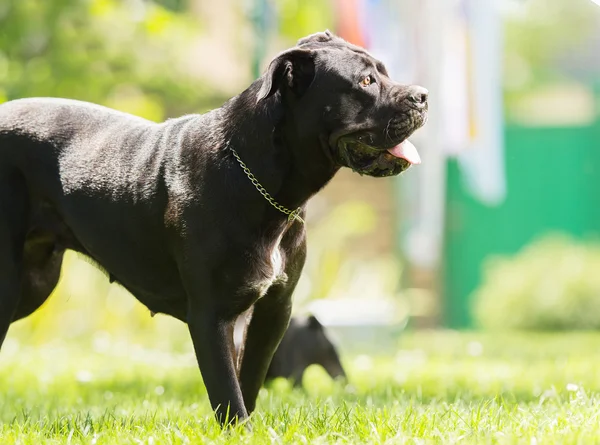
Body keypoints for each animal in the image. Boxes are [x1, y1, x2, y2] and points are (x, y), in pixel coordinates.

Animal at [0, 29, 426, 424]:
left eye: (385, 73)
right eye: (366, 82)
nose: (422, 95)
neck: (265, 181)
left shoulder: (274, 309)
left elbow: (248, 380)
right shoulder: (211, 314)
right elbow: (226, 390)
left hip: (34, 282)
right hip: (12, 285)